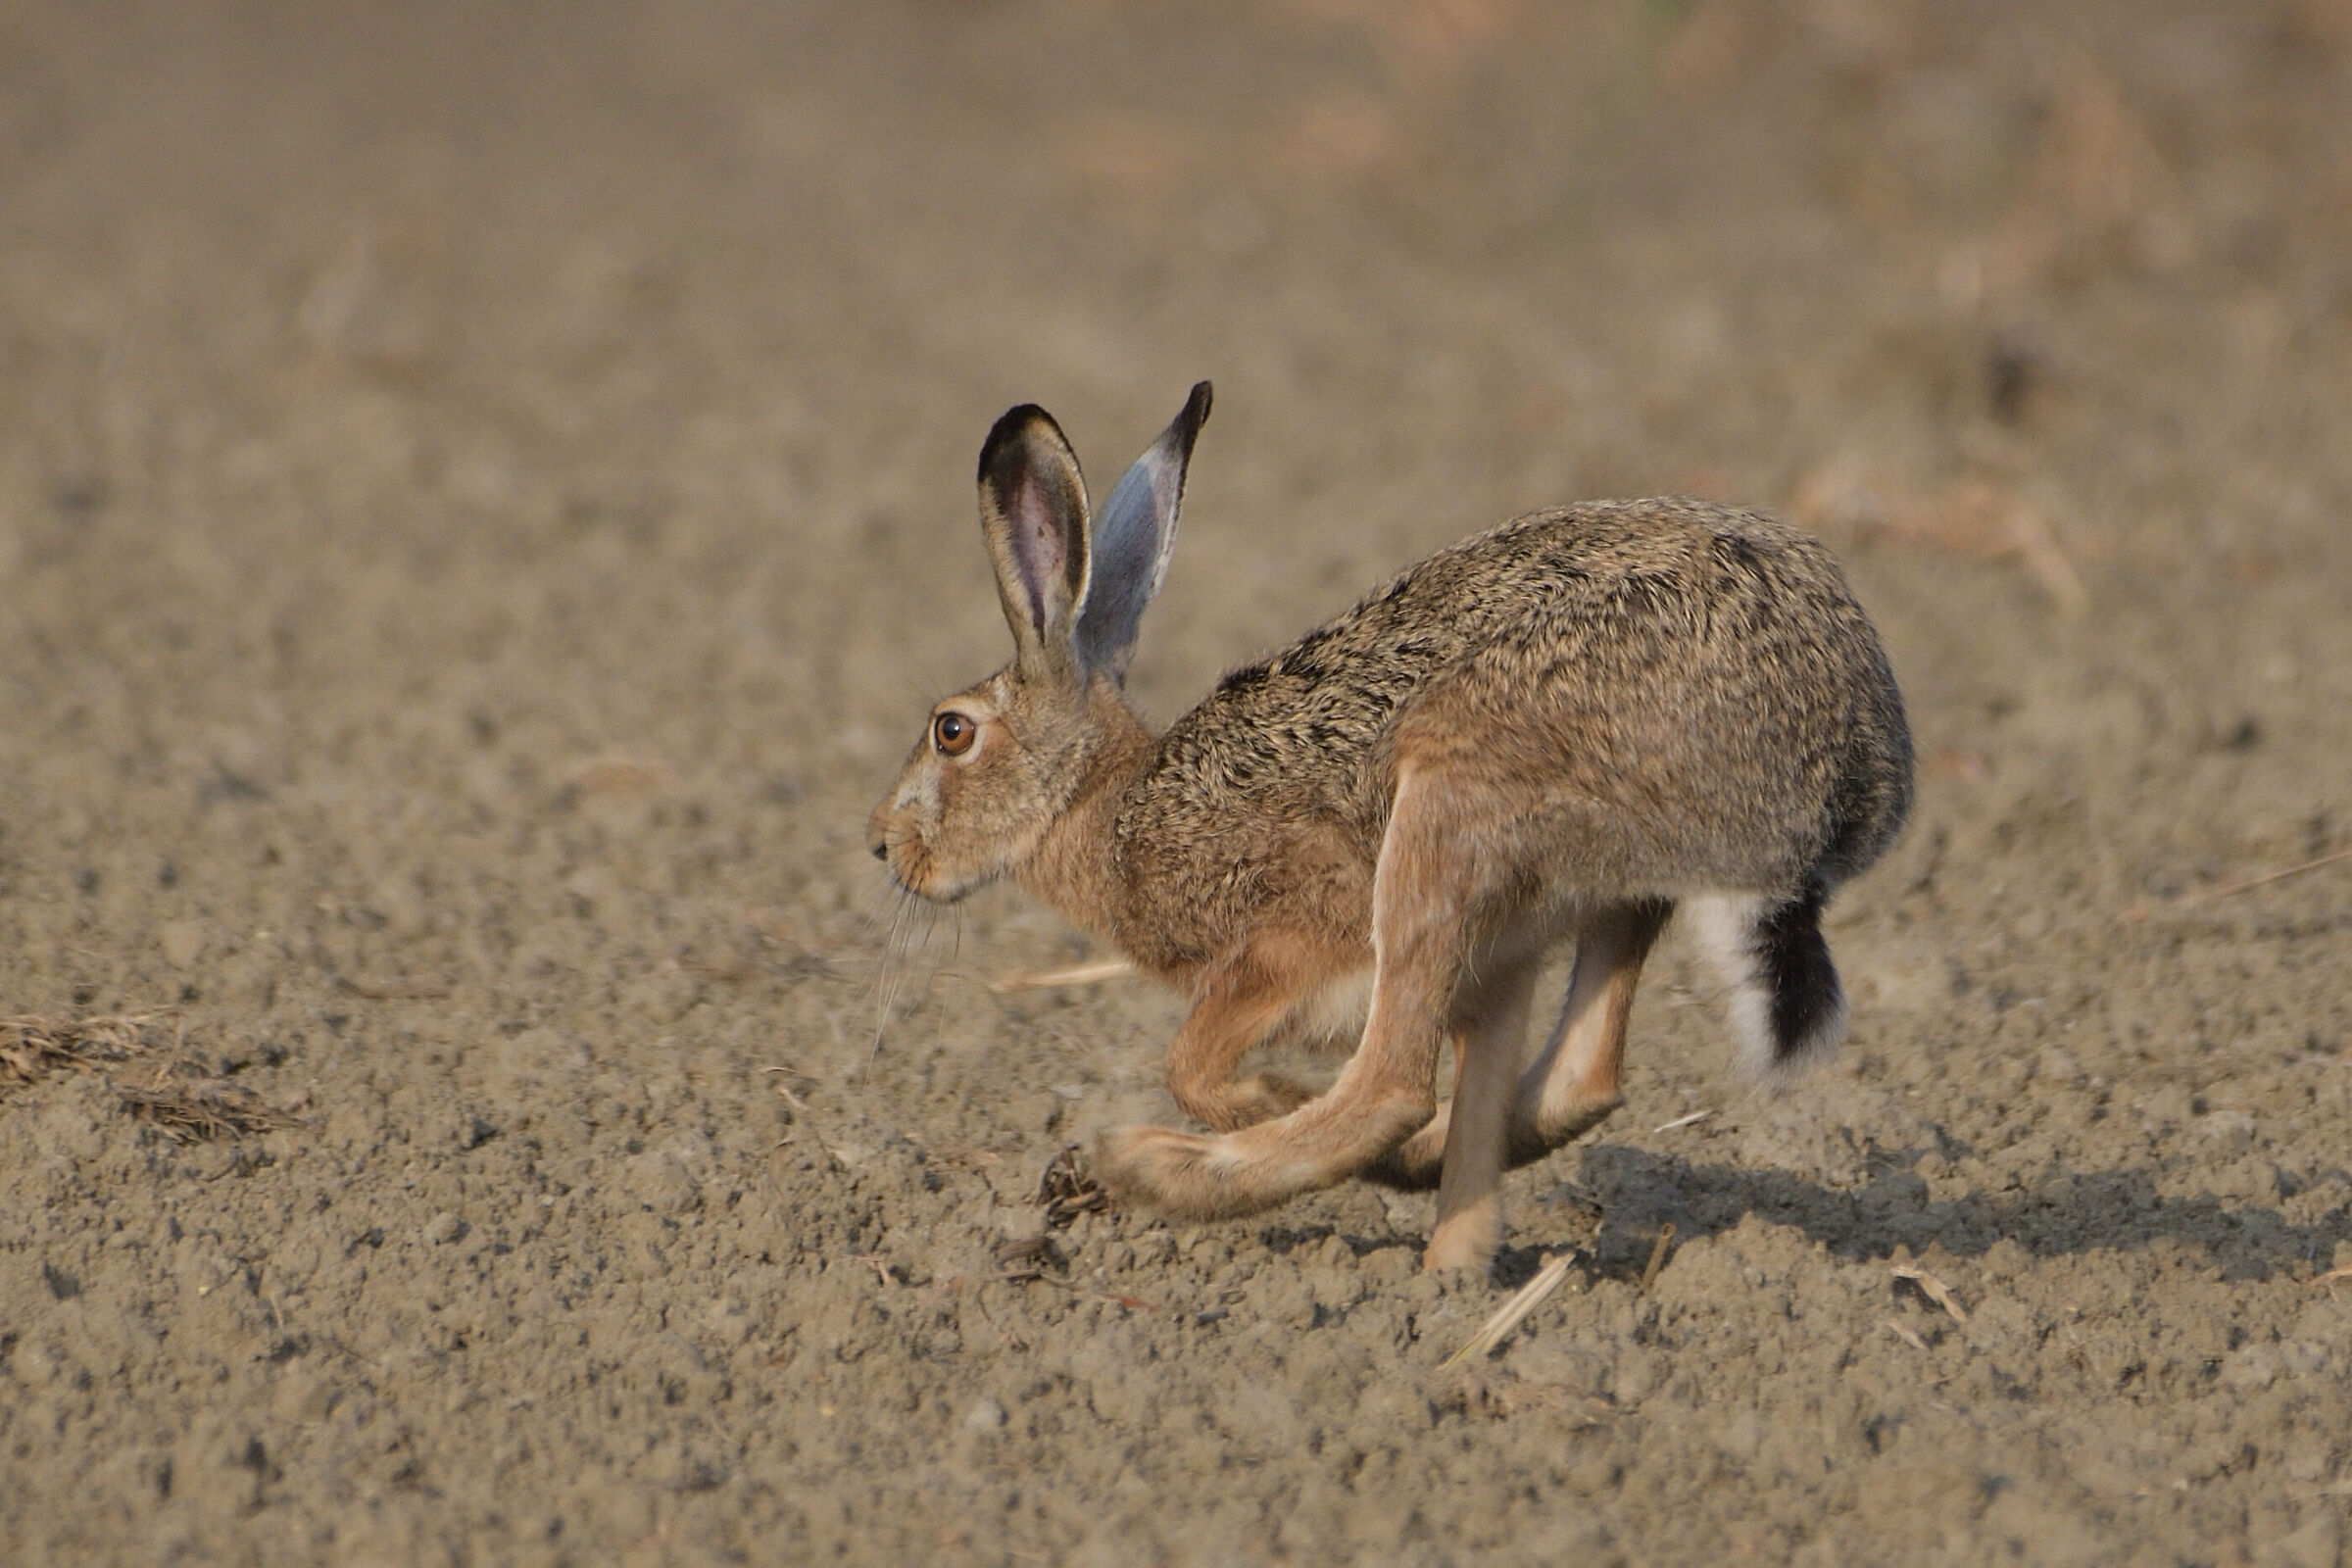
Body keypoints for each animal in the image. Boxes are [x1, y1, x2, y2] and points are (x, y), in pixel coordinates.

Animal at [867, 382, 1913, 1272]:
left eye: (952, 732)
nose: (884, 844)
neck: (1114, 802)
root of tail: (1850, 775)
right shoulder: (1493, 963)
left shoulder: (1281, 947)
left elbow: (1193, 1066)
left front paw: (1265, 1103)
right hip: (1581, 898)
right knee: (1573, 1078)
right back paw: (1443, 1272)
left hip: (1439, 813)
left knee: (1393, 1086)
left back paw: (1145, 1165)